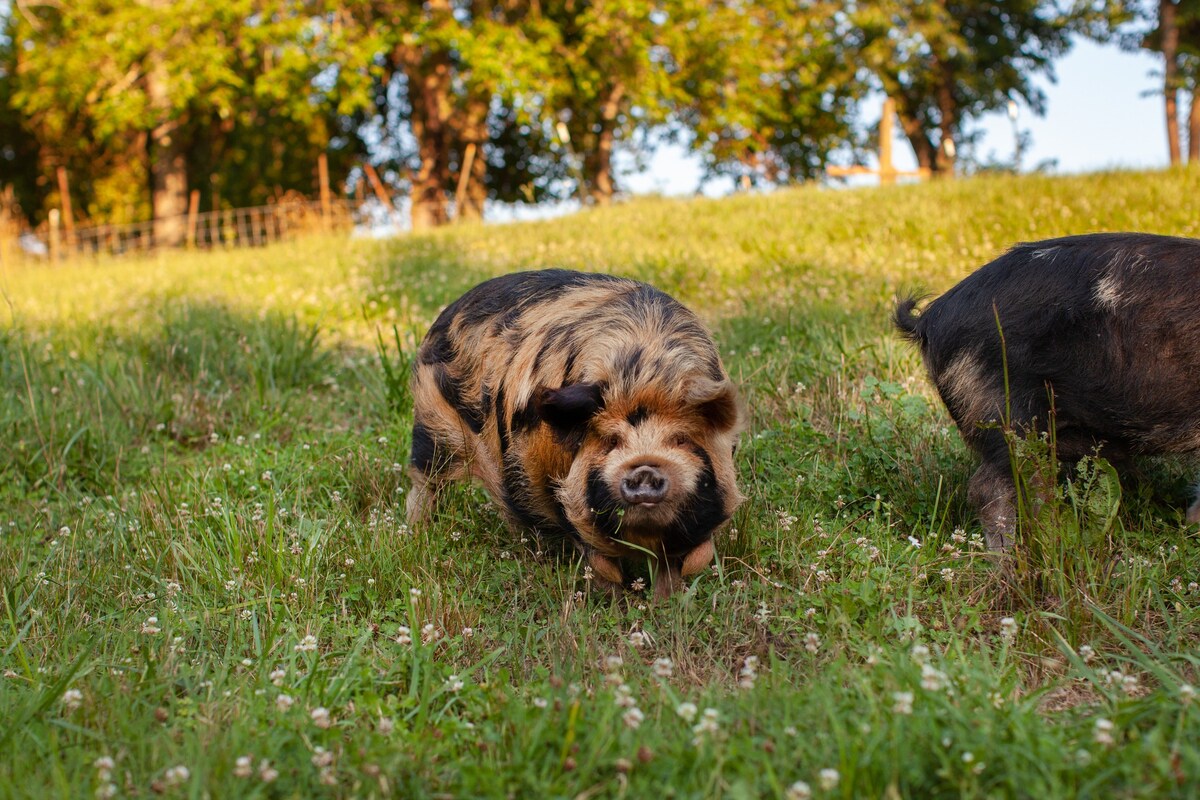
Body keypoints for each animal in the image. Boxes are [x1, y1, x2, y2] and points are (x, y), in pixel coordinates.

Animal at [405, 268, 739, 594]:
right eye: (610, 441)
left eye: (680, 438)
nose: (644, 468)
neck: (642, 371)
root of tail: (448, 312)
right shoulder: (552, 484)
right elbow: (598, 559)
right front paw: (614, 599)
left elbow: (677, 563)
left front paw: (668, 602)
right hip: (431, 427)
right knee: (424, 482)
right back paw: (416, 531)